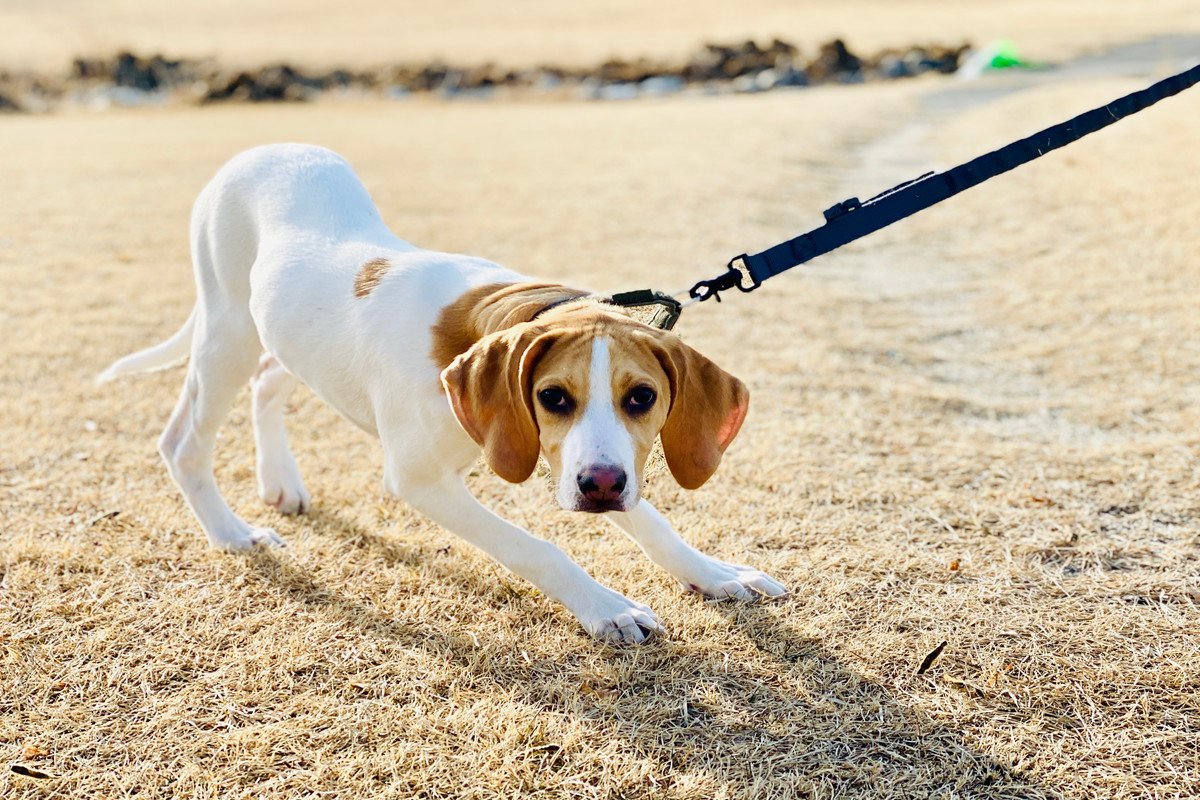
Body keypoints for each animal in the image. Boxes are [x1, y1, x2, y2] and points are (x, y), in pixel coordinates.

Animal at [103, 145, 787, 642]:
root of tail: (255, 152)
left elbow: (654, 523)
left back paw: (280, 482)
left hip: (285, 337)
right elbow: (537, 548)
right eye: (554, 397)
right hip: (228, 331)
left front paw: (714, 574)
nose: (600, 490)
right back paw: (232, 534)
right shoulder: (423, 481)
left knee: (269, 381)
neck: (494, 316)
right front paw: (607, 607)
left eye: (642, 398)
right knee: (184, 441)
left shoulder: (566, 454)